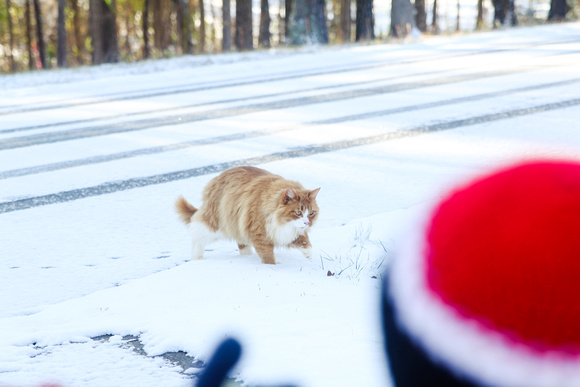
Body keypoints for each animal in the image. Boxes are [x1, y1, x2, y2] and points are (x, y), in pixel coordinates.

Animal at [177, 165, 322, 266]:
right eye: (298, 212)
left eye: (311, 213)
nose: (307, 223)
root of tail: (217, 177)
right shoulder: (260, 234)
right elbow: (268, 256)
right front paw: (273, 268)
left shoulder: (286, 231)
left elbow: (304, 240)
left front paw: (309, 255)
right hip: (215, 223)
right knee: (197, 234)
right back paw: (197, 258)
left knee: (241, 243)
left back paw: (246, 257)